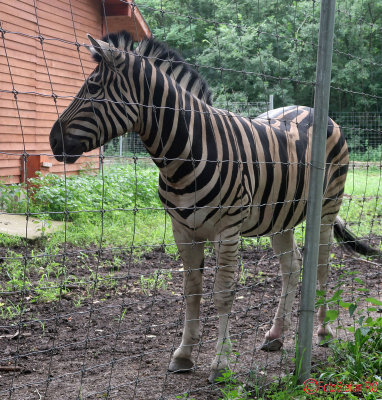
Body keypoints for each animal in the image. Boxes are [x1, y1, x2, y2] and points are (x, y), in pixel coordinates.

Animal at [48, 30, 380, 382]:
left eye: (93, 87)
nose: (53, 141)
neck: (184, 155)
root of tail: (311, 108)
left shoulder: (228, 231)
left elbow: (223, 292)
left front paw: (221, 362)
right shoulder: (183, 231)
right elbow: (192, 291)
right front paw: (183, 354)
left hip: (327, 208)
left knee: (322, 266)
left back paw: (323, 331)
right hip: (281, 215)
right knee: (291, 267)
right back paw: (276, 334)